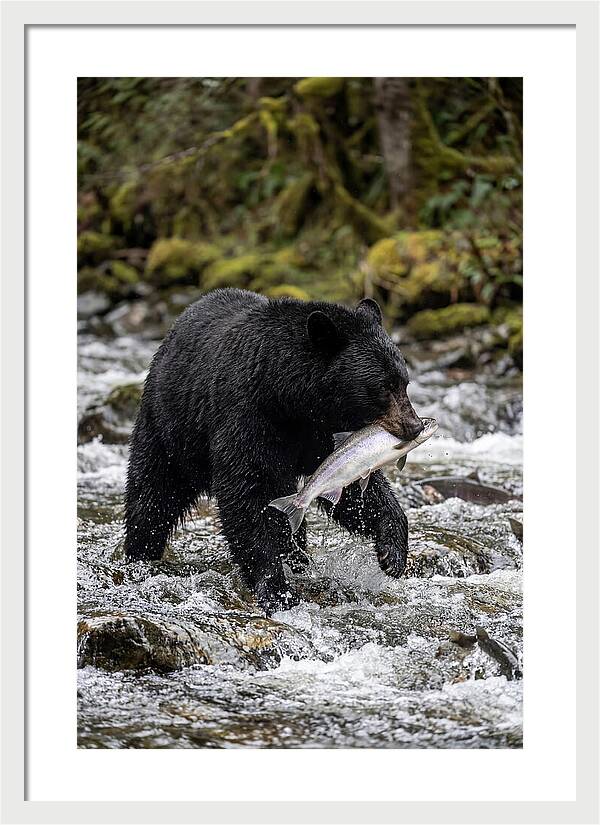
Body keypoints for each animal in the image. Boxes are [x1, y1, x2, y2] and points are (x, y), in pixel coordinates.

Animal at [124, 288, 423, 612]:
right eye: (382, 387)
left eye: (404, 382)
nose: (415, 426)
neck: (290, 398)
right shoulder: (248, 415)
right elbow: (246, 493)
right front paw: (276, 589)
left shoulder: (323, 433)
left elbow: (352, 486)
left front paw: (392, 553)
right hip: (170, 428)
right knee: (152, 494)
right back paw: (140, 554)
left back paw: (299, 558)